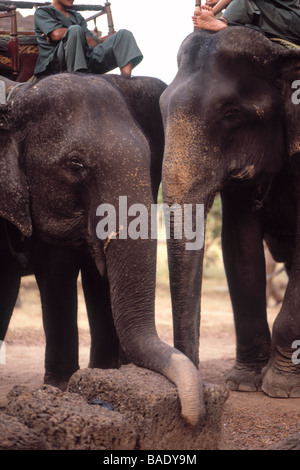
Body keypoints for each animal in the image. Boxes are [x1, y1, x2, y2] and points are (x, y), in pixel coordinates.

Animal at [161, 26, 300, 396]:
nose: (202, 386)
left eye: (231, 115)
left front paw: (280, 388)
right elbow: (239, 247)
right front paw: (242, 383)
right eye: (161, 107)